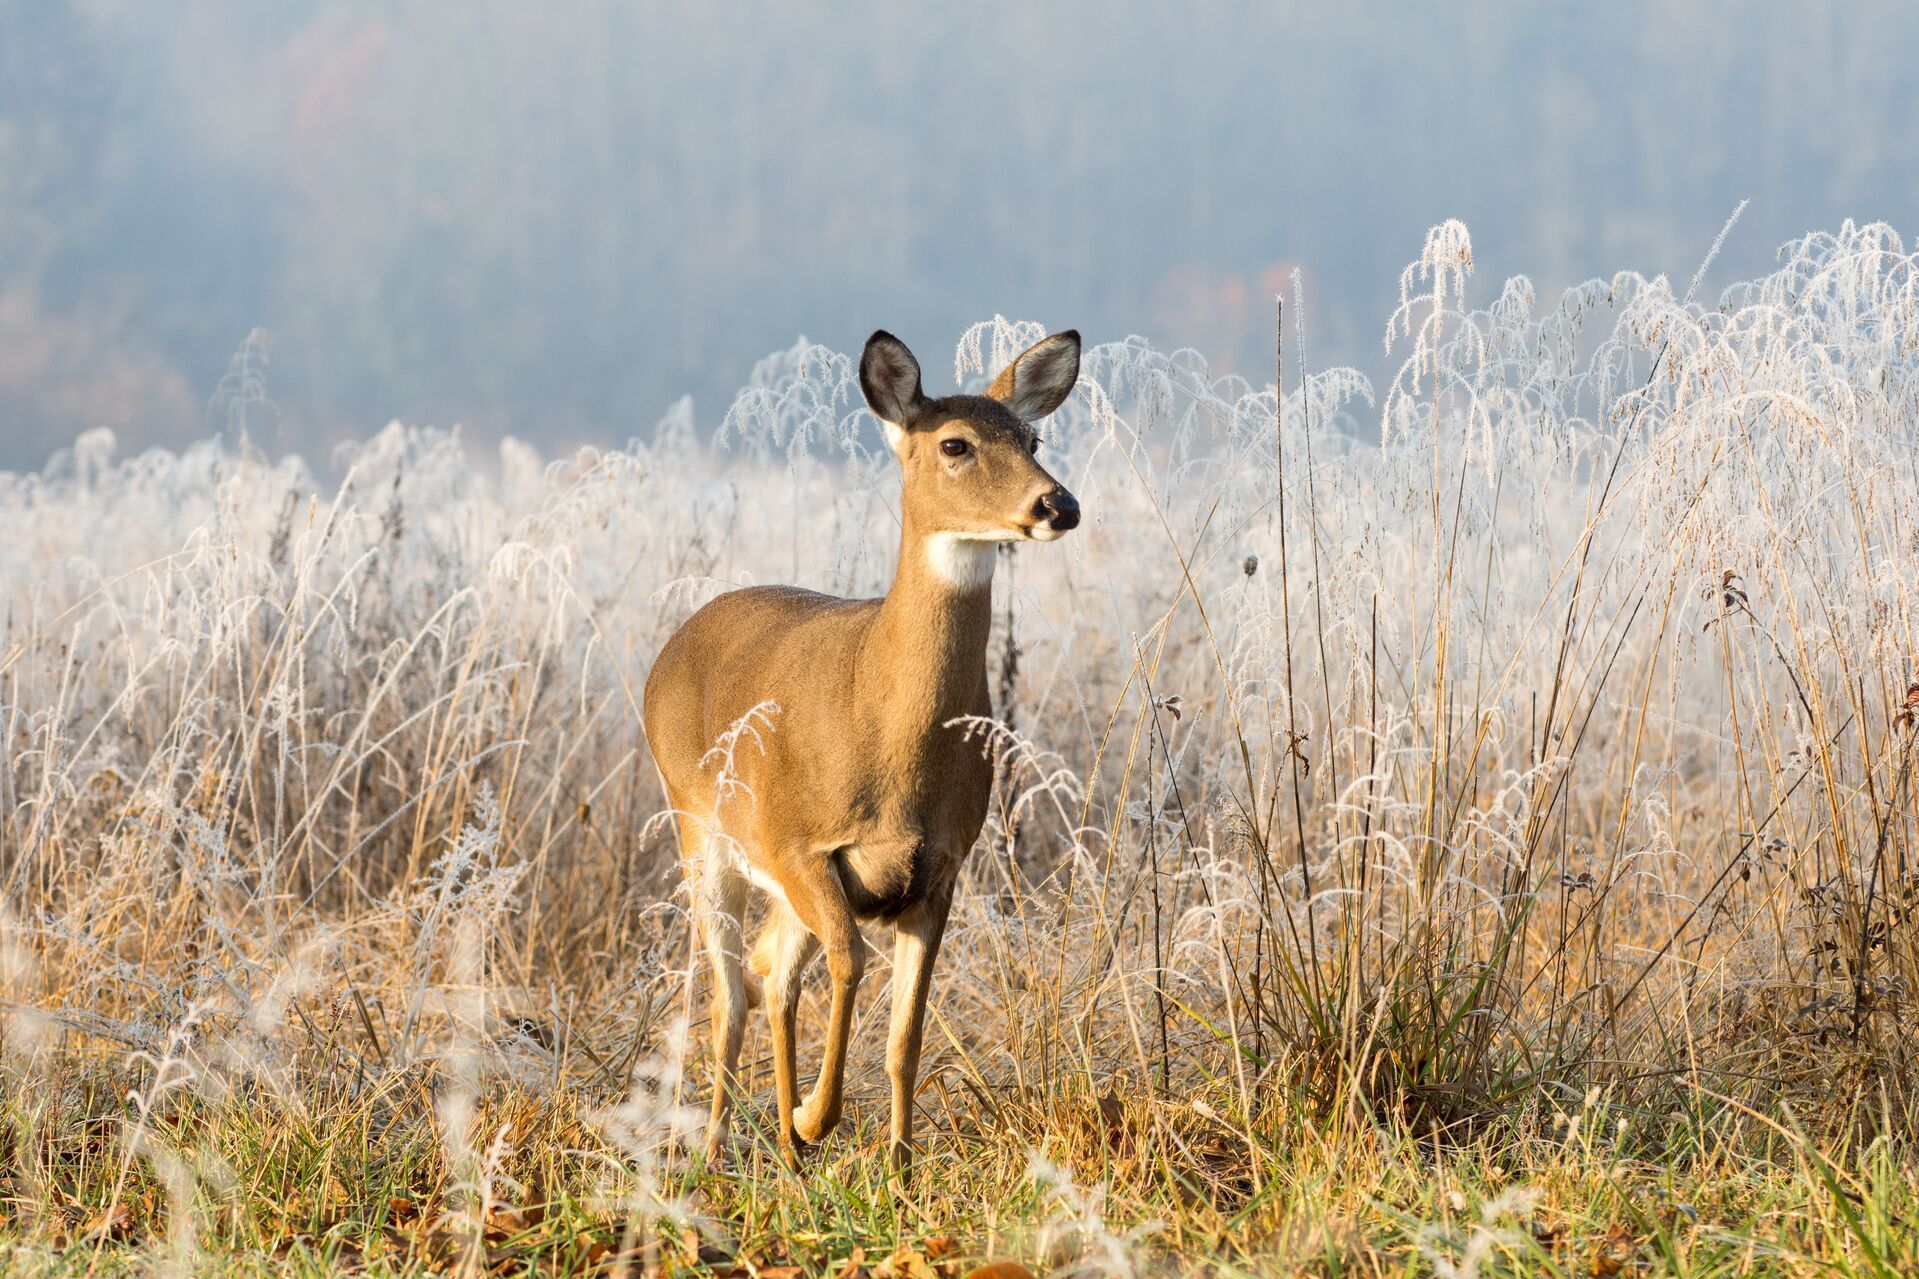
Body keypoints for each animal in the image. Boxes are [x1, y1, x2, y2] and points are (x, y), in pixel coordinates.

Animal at [642, 328, 1082, 1169]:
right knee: (730, 992)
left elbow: (905, 1031)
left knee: (770, 969)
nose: (1057, 503)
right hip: (700, 827)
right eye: (954, 443)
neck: (886, 733)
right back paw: (718, 1148)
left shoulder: (940, 864)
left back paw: (785, 1153)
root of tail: (673, 644)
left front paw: (898, 1162)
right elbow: (850, 961)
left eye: (1033, 438)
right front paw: (817, 1114)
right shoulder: (801, 843)